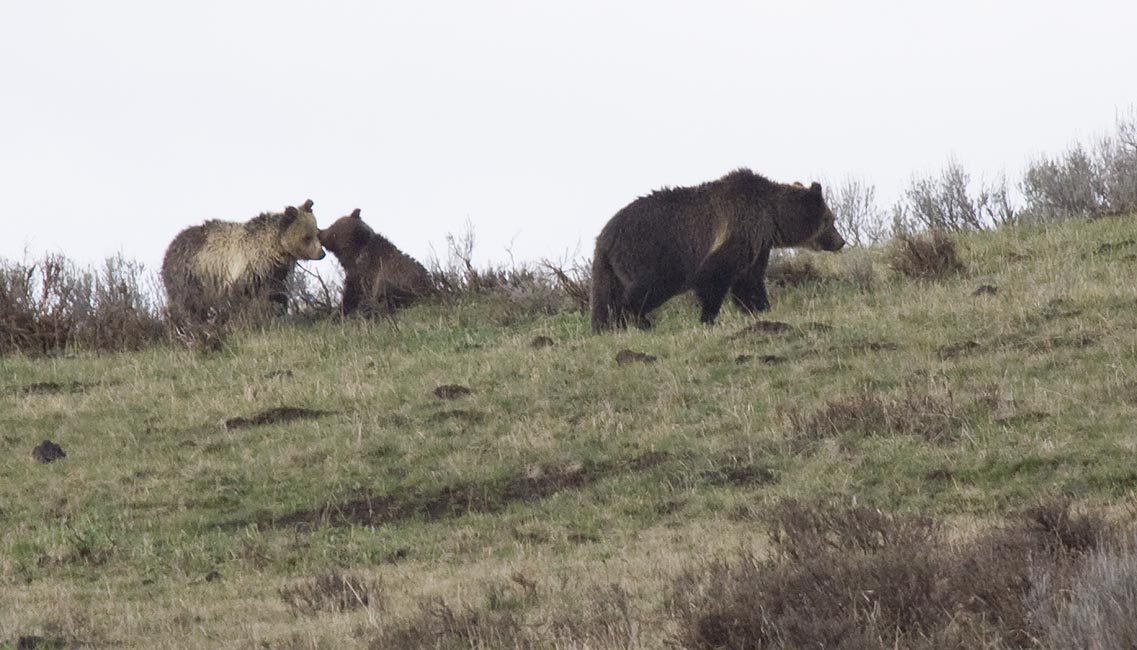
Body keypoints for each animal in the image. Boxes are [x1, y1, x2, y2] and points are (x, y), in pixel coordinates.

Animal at [158, 196, 325, 320]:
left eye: (317, 232)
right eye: (307, 237)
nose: (321, 253)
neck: (275, 251)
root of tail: (170, 247)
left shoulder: (276, 273)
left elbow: (277, 293)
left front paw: (279, 313)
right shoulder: (247, 268)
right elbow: (240, 297)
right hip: (190, 274)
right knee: (187, 303)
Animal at [586, 169, 845, 329]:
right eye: (830, 220)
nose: (840, 241)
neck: (772, 218)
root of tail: (603, 238)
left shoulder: (758, 244)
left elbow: (749, 280)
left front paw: (761, 308)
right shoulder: (739, 228)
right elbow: (714, 274)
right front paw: (708, 317)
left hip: (609, 269)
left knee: (604, 298)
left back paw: (606, 327)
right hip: (651, 252)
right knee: (650, 286)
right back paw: (640, 320)